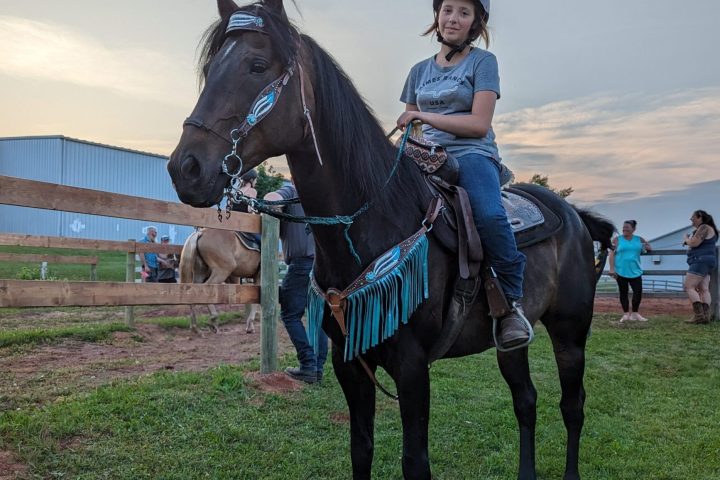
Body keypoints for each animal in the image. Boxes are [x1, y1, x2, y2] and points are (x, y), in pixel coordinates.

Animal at [167, 1, 615, 479]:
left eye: (256, 65)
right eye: (210, 68)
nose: (185, 168)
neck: (374, 221)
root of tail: (575, 217)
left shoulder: (412, 368)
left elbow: (415, 462)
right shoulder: (349, 362)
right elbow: (361, 448)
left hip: (571, 331)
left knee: (572, 405)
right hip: (512, 342)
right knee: (525, 401)